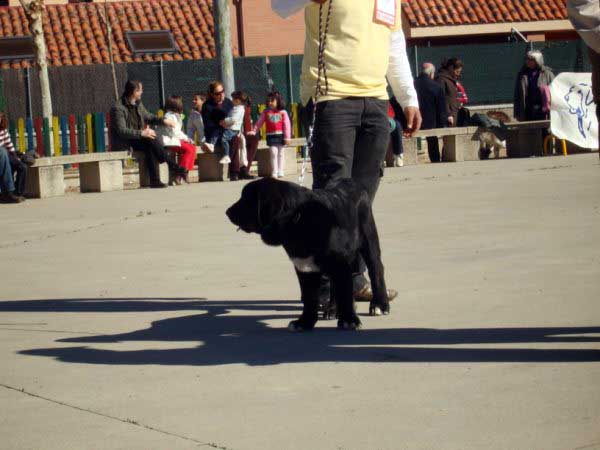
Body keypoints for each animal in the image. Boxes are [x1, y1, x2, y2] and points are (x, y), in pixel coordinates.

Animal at [225, 178, 390, 330]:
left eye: (247, 199)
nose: (227, 212)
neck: (298, 218)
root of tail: (350, 181)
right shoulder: (304, 266)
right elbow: (310, 297)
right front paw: (304, 322)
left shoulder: (340, 263)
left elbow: (345, 293)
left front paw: (349, 320)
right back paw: (332, 310)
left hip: (368, 237)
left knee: (376, 269)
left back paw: (380, 304)